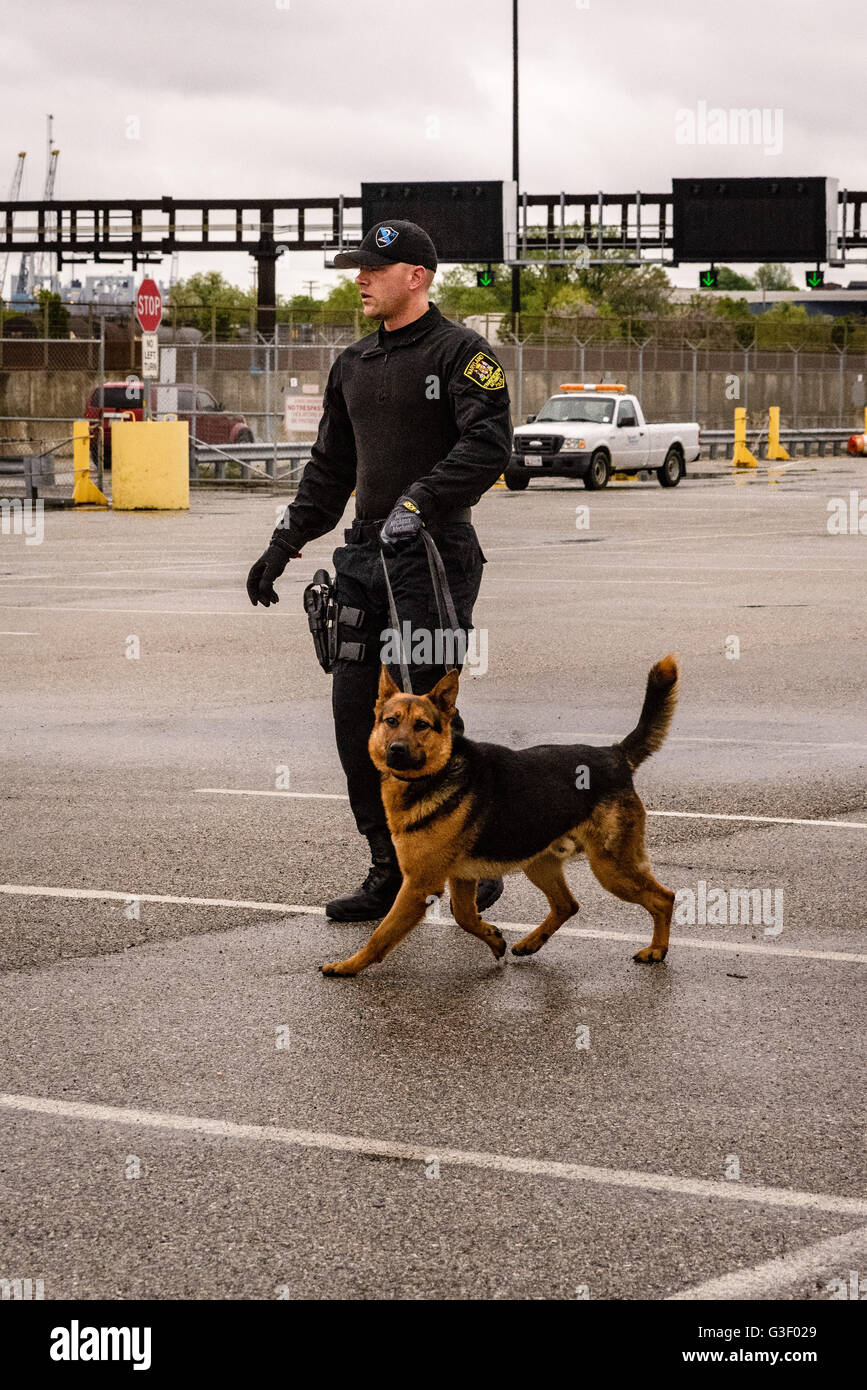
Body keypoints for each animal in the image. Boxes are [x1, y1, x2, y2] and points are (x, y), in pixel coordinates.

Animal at [318, 650, 678, 978]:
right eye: (391, 721)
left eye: (421, 725)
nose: (396, 750)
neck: (435, 774)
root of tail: (615, 754)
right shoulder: (461, 878)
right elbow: (465, 917)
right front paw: (493, 938)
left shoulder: (420, 885)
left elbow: (381, 935)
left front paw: (348, 966)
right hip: (540, 863)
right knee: (567, 904)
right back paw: (531, 942)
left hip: (611, 869)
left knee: (665, 898)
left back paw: (657, 950)